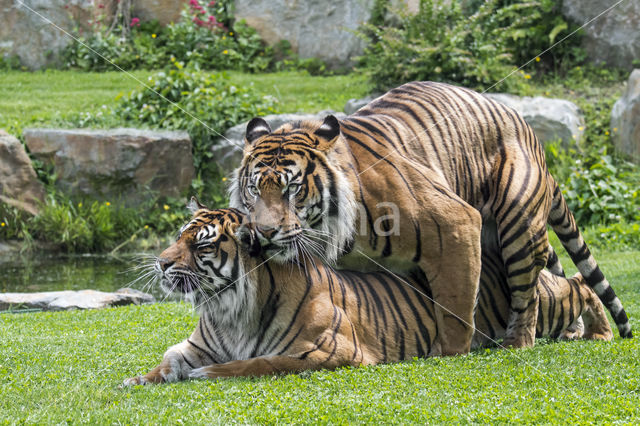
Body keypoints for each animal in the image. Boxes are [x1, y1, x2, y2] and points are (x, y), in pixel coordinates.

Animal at [122, 206, 612, 386]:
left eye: (201, 245)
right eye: (178, 237)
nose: (161, 263)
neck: (227, 308)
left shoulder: (325, 351)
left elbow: (255, 363)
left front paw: (208, 374)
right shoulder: (195, 343)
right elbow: (167, 359)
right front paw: (139, 379)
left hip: (543, 301)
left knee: (580, 284)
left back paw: (600, 333)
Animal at [229, 80, 632, 356]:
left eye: (292, 189)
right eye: (254, 190)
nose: (264, 232)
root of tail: (530, 133)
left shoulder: (456, 224)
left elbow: (456, 305)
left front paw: (451, 351)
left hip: (519, 224)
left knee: (528, 293)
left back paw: (518, 342)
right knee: (563, 277)